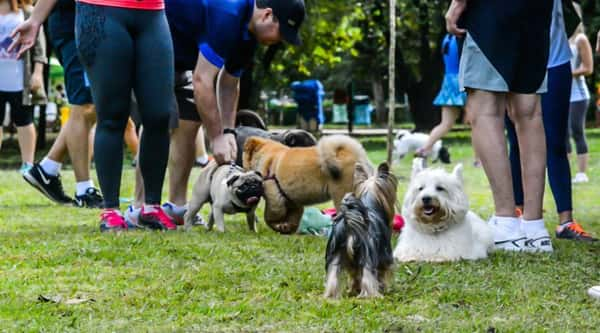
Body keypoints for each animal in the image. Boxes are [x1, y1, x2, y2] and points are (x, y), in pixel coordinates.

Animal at [241, 134, 372, 233]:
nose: (242, 167)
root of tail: (356, 154)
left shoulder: (274, 198)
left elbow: (269, 218)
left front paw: (277, 227)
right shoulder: (293, 201)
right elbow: (294, 218)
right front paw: (287, 229)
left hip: (341, 194)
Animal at [324, 161, 398, 298]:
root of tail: (349, 225)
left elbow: (354, 275)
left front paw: (354, 289)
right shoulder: (383, 256)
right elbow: (381, 274)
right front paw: (383, 287)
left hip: (336, 252)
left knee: (333, 275)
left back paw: (331, 296)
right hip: (368, 253)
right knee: (368, 276)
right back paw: (373, 296)